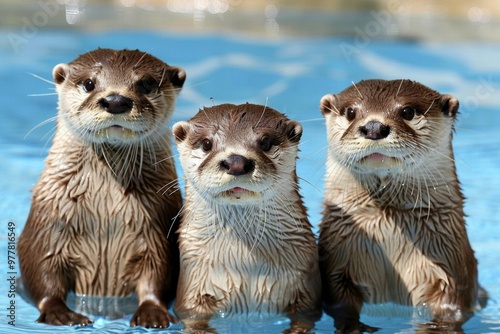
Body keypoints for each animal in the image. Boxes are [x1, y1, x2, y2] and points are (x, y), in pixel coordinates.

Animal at [17, 48, 187, 328]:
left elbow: (159, 273)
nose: (116, 101)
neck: (105, 215)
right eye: (89, 83)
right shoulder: (48, 221)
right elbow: (40, 266)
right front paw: (59, 313)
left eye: (147, 83)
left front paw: (152, 313)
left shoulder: (160, 229)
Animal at [172, 103, 320, 332]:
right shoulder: (192, 290)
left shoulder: (306, 291)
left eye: (265, 142)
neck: (244, 262)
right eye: (206, 143)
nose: (236, 162)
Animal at [318, 79, 486, 332]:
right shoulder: (335, 267)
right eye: (350, 112)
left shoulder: (454, 273)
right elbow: (343, 308)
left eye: (408, 111)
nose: (374, 128)